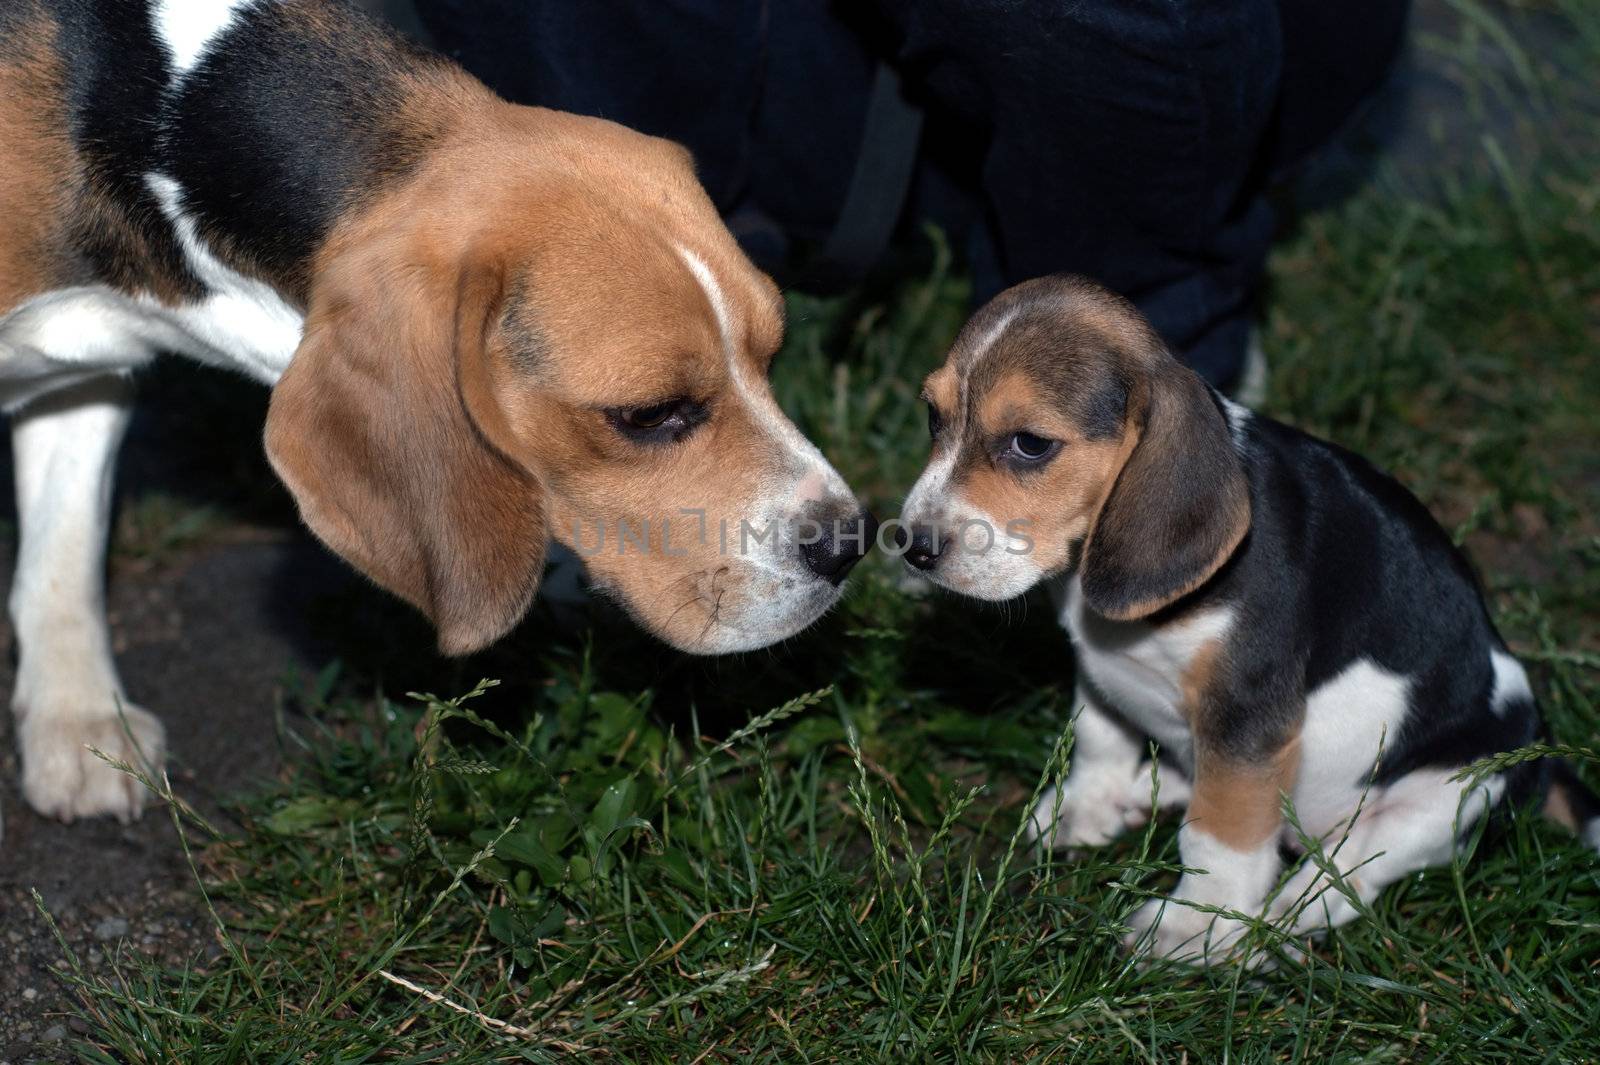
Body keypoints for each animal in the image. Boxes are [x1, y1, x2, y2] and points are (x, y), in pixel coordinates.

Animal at [3, 0, 876, 831]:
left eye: (770, 354)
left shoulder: (89, 364)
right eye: (648, 413)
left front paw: (75, 718)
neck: (157, 102)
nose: (848, 544)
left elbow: (65, 543)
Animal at [902, 273, 1600, 959]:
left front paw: (1196, 924)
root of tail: (1542, 758)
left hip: (1448, 795)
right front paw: (1087, 806)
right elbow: (1100, 732)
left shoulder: (1245, 716)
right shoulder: (1100, 666)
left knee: (1355, 870)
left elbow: (1222, 831)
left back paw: (1289, 913)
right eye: (933, 416)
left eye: (1029, 444)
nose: (912, 545)